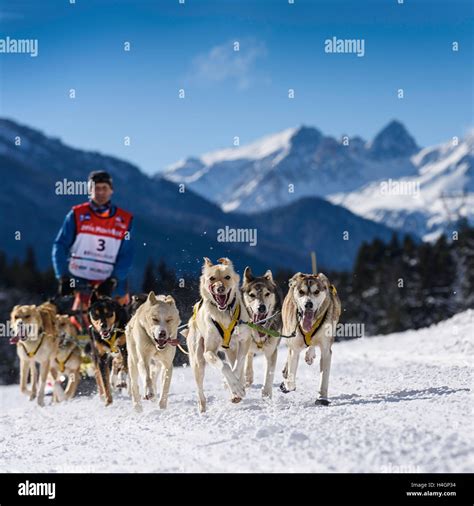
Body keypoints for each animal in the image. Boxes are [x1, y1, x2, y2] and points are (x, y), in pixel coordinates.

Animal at [184, 256, 252, 412]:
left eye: (227, 277)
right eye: (212, 278)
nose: (220, 288)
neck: (224, 313)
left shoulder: (244, 341)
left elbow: (238, 365)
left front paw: (237, 387)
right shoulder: (209, 352)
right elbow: (224, 366)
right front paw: (235, 386)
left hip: (232, 349)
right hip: (197, 360)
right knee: (200, 390)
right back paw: (202, 408)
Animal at [278, 270, 340, 406]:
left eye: (316, 292)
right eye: (301, 291)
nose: (308, 304)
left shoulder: (326, 349)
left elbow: (324, 376)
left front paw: (322, 398)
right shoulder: (294, 347)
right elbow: (291, 378)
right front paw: (287, 384)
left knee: (311, 345)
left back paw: (309, 355)